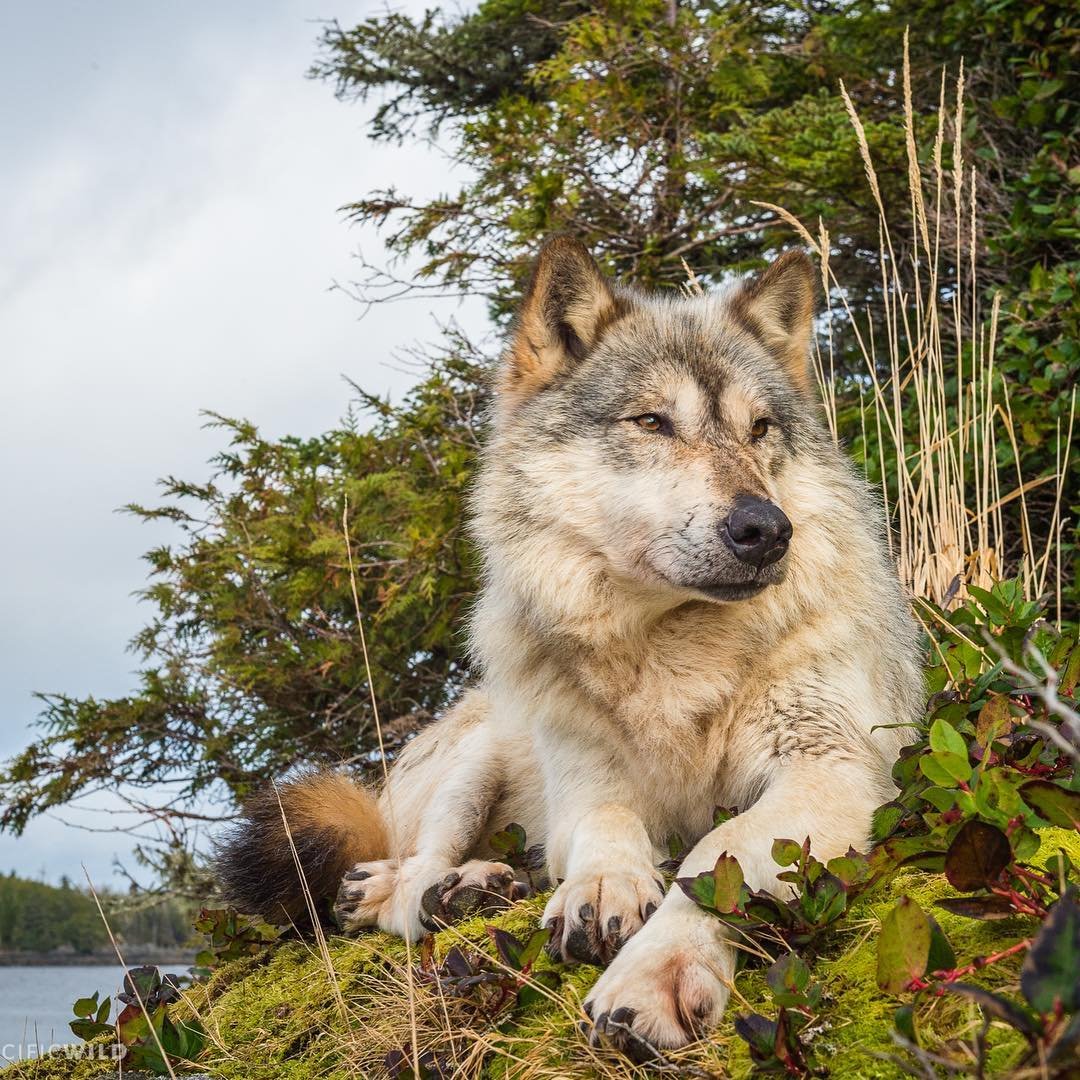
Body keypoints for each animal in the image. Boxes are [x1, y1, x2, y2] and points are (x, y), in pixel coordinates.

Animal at [217, 236, 920, 1054]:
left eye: (760, 430)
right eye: (652, 421)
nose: (768, 530)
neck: (672, 644)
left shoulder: (833, 769)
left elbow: (720, 850)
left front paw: (657, 971)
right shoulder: (587, 781)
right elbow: (605, 824)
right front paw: (603, 886)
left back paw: (479, 887)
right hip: (479, 756)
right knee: (414, 877)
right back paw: (421, 890)